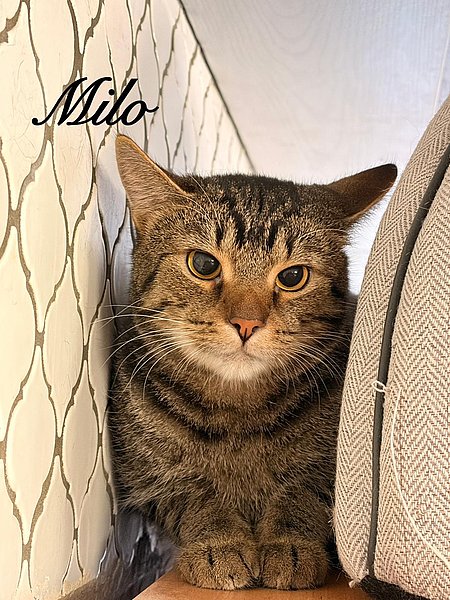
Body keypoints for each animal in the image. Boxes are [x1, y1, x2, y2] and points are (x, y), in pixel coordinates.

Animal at [109, 134, 397, 591]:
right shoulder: (150, 481)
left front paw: (290, 546)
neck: (237, 415)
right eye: (204, 264)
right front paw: (219, 544)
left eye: (293, 277)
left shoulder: (329, 477)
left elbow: (302, 497)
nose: (246, 323)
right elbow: (197, 499)